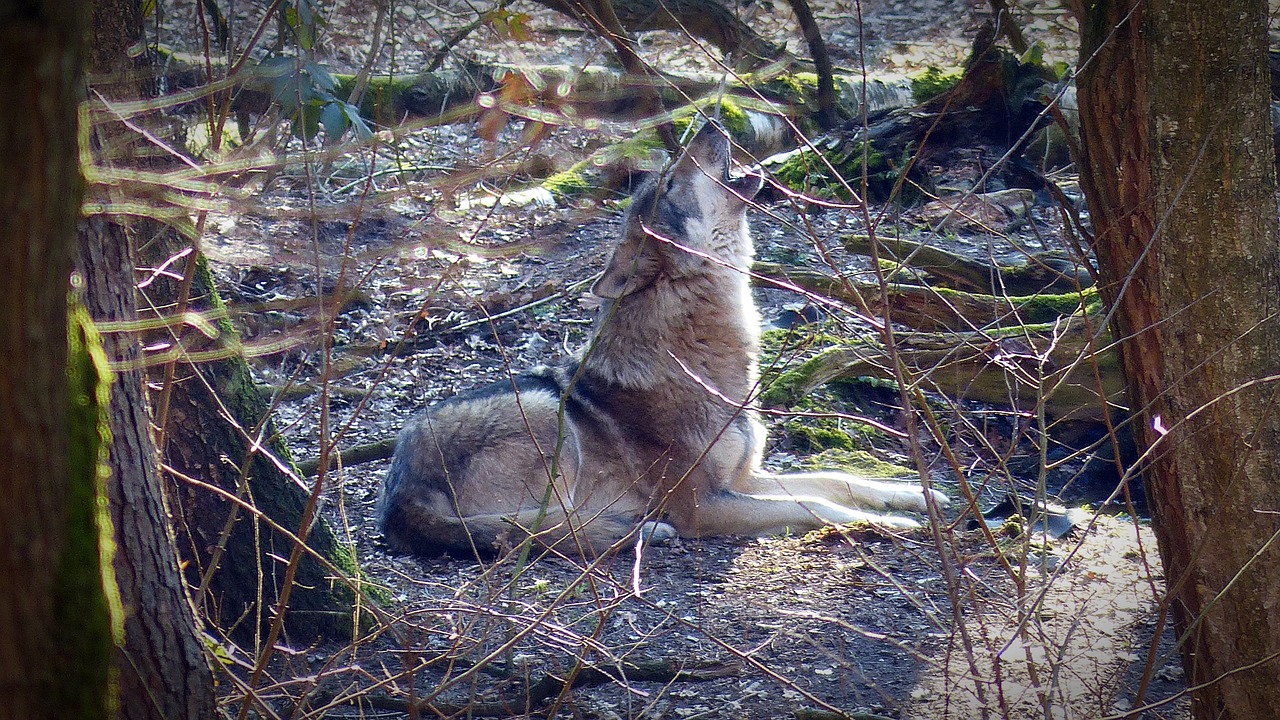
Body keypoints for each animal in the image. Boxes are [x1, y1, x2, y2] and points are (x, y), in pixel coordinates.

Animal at [373, 119, 947, 556]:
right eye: (670, 183)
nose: (712, 122)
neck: (702, 360)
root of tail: (397, 493)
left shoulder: (742, 480)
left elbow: (836, 478)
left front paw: (918, 496)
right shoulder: (702, 505)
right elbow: (819, 504)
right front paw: (891, 525)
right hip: (546, 417)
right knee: (541, 531)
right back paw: (639, 529)